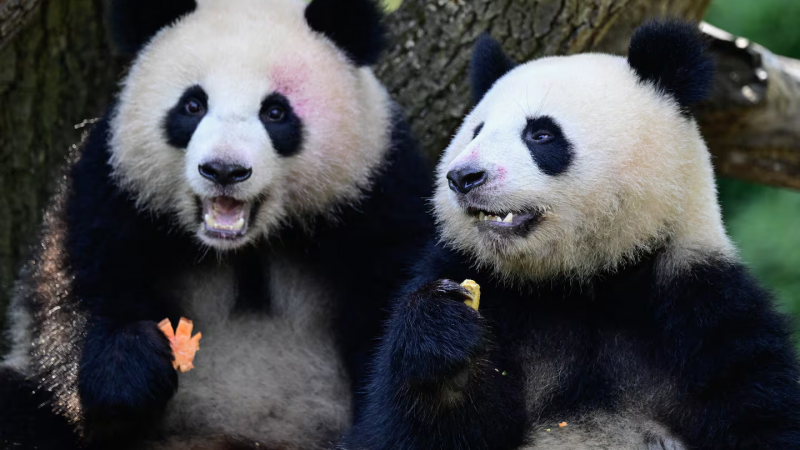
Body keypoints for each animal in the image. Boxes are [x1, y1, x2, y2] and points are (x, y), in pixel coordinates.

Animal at [1, 0, 433, 448]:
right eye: (193, 105)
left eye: (275, 112)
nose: (224, 170)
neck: (244, 248)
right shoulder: (112, 188)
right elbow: (73, 291)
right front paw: (130, 365)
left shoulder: (378, 199)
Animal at [341, 21, 800, 450]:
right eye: (475, 131)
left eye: (540, 133)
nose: (463, 177)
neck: (580, 279)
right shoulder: (470, 275)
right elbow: (397, 429)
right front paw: (443, 333)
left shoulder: (702, 309)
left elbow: (761, 413)